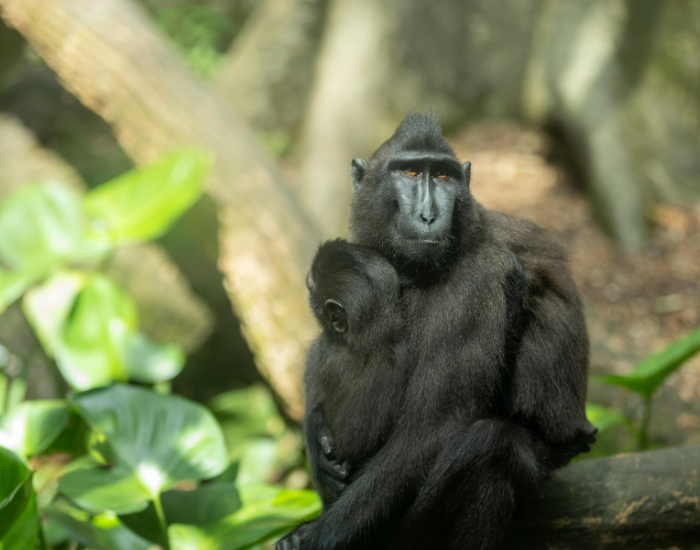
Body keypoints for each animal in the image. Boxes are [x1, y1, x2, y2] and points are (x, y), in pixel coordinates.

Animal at [277, 113, 596, 550]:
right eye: (410, 172)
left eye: (443, 176)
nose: (429, 215)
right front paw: (315, 438)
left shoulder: (478, 278)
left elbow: (429, 429)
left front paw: (315, 537)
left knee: (493, 444)